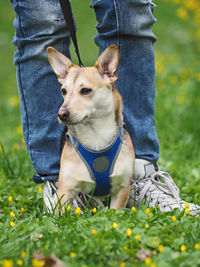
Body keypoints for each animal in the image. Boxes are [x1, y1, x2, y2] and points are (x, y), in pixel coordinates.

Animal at [46, 45, 134, 213]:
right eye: (63, 91)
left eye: (85, 90)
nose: (61, 114)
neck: (95, 134)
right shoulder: (66, 191)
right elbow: (60, 216)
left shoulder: (122, 187)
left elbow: (116, 212)